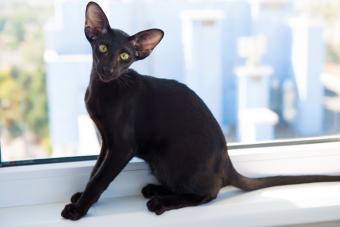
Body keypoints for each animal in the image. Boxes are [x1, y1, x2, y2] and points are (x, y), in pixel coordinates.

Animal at [61, 1, 340, 220]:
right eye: (103, 48)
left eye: (125, 57)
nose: (107, 70)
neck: (103, 90)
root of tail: (225, 163)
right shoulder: (107, 142)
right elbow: (95, 171)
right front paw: (81, 197)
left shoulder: (121, 146)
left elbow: (100, 179)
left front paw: (79, 209)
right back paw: (155, 190)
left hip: (171, 156)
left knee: (209, 193)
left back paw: (160, 201)